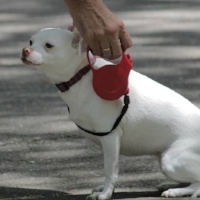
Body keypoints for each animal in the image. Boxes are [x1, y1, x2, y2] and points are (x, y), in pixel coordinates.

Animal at [20, 27, 200, 198]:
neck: (81, 75)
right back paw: (171, 185)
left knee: (197, 184)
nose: (25, 50)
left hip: (170, 160)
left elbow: (110, 171)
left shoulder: (110, 138)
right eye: (30, 41)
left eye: (48, 46)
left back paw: (176, 191)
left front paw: (105, 194)